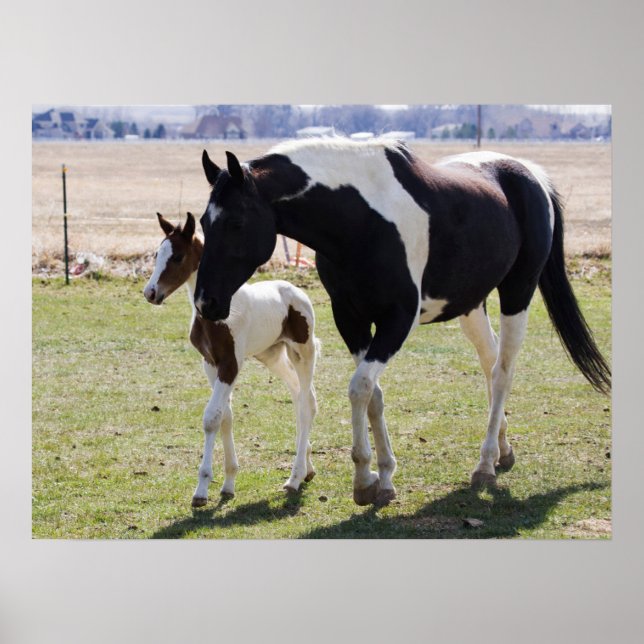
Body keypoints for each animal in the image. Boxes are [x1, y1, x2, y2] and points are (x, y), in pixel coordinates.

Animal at [143, 212, 319, 507]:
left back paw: (294, 478)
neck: (213, 315)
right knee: (299, 396)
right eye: (157, 254)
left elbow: (212, 418)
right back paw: (308, 469)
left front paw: (202, 490)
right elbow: (226, 415)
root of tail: (296, 291)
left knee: (306, 405)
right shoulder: (210, 364)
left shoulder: (231, 364)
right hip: (271, 355)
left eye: (177, 257)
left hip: (302, 352)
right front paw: (228, 484)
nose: (150, 293)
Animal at [192, 137, 611, 507]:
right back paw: (502, 452)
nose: (205, 303)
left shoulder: (398, 320)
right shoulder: (351, 319)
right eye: (203, 223)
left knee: (503, 372)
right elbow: (374, 395)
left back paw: (484, 465)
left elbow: (359, 388)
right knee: (490, 364)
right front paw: (384, 477)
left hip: (517, 293)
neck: (361, 220)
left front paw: (364, 479)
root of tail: (530, 175)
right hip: (472, 306)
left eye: (236, 222)